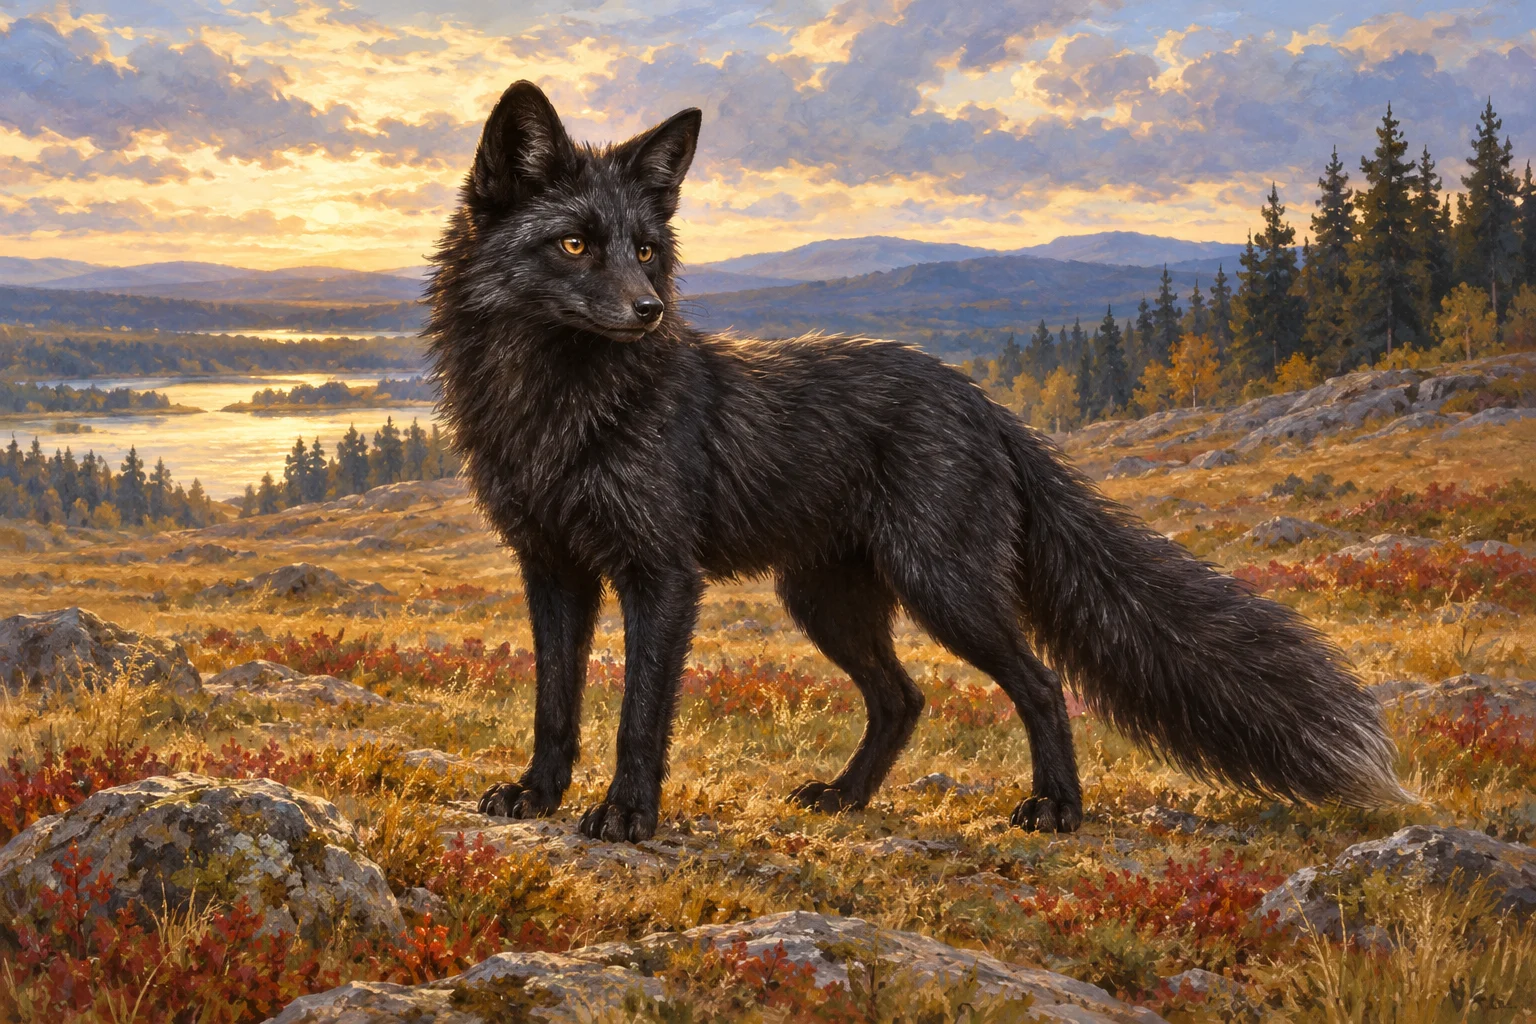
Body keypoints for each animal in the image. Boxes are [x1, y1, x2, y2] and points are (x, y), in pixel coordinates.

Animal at [426, 80, 1409, 843]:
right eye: (574, 244)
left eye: (645, 251)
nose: (649, 312)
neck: (556, 413)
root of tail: (984, 404)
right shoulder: (551, 566)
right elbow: (555, 702)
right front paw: (536, 796)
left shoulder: (660, 574)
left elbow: (638, 714)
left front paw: (628, 816)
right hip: (827, 600)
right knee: (902, 699)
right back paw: (847, 798)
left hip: (942, 587)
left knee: (1039, 682)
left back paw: (1056, 809)